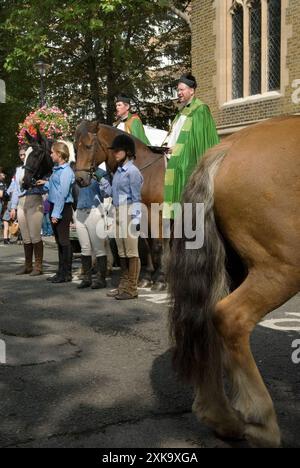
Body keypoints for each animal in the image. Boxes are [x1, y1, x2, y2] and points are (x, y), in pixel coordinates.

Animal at [73, 119, 166, 288]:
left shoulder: (157, 214)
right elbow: (147, 244)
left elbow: (157, 244)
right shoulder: (142, 215)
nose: (80, 179)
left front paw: (160, 279)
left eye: (89, 146)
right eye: (76, 148)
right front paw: (147, 277)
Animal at [168, 115, 300, 448]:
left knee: (206, 321)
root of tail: (230, 146)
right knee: (231, 317)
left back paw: (220, 416)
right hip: (281, 267)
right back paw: (261, 421)